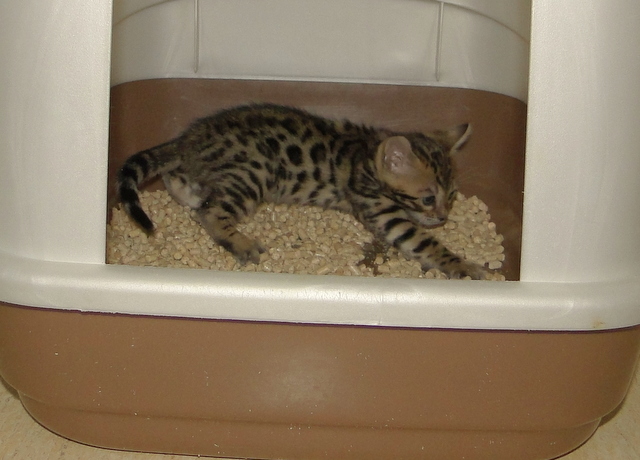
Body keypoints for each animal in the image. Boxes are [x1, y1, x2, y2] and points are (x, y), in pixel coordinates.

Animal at [117, 103, 489, 279]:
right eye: (427, 198)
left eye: (452, 196)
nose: (442, 217)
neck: (366, 154)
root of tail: (191, 138)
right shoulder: (383, 212)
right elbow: (425, 243)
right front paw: (464, 266)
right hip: (254, 173)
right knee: (210, 212)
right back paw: (241, 242)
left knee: (179, 179)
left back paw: (190, 191)